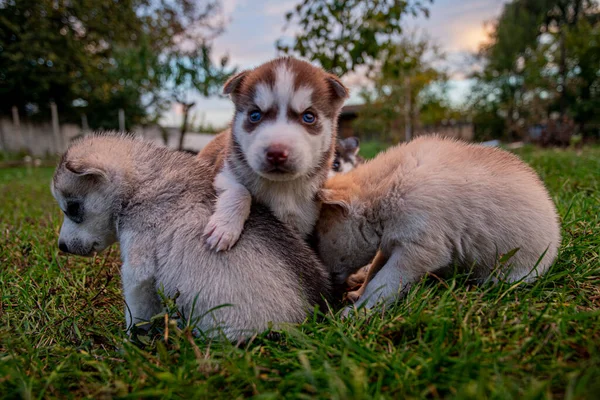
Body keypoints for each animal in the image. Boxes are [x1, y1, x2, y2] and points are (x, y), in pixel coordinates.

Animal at [50, 135, 332, 340]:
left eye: (72, 208)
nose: (61, 247)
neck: (141, 183)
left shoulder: (138, 267)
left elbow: (136, 310)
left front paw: (130, 340)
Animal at [205, 57, 350, 250]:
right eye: (255, 115)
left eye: (309, 117)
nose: (276, 153)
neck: (281, 187)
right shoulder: (223, 171)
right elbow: (240, 190)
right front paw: (225, 227)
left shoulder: (303, 220)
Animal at [316, 136, 560, 314]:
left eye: (316, 237)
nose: (329, 286)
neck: (389, 185)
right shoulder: (390, 244)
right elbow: (374, 273)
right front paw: (358, 294)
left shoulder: (418, 251)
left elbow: (382, 283)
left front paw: (358, 313)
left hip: (515, 273)